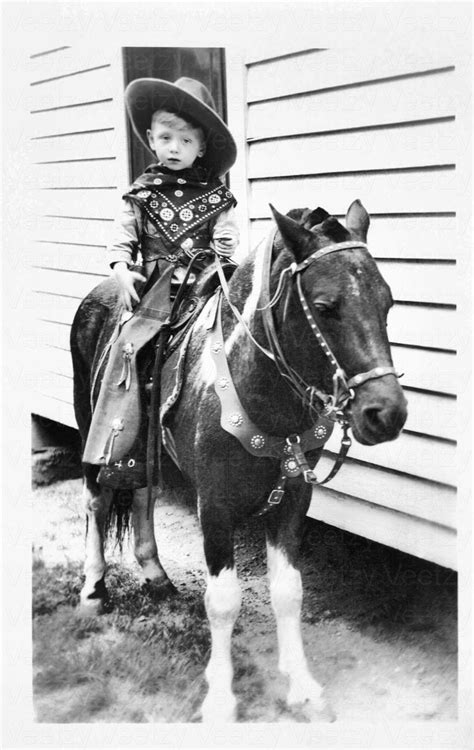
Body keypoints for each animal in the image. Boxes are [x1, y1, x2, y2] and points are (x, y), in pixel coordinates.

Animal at [70, 198, 408, 724]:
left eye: (387, 302)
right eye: (325, 307)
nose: (386, 413)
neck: (257, 383)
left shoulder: (294, 497)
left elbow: (289, 590)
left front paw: (302, 686)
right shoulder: (215, 504)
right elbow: (224, 600)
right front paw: (220, 698)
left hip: (142, 451)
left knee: (143, 493)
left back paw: (155, 575)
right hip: (93, 429)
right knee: (96, 503)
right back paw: (92, 592)